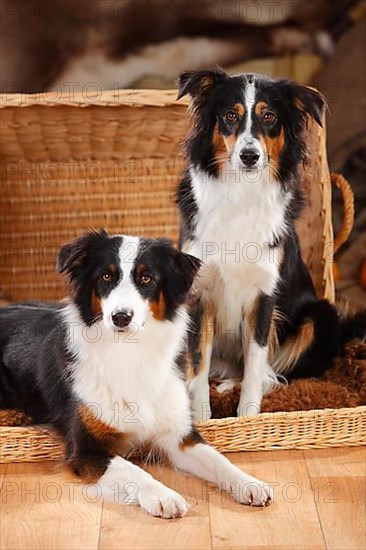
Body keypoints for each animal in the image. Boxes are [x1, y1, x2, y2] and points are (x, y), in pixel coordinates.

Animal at [0, 231, 274, 520]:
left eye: (146, 278)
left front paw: (249, 483)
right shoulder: (86, 449)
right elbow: (134, 470)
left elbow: (218, 460)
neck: (129, 350)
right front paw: (164, 496)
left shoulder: (180, 436)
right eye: (106, 276)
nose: (121, 317)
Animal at [176, 69, 364, 422]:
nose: (250, 156)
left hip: (320, 316)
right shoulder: (200, 294)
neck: (242, 191)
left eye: (270, 117)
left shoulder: (263, 295)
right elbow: (198, 363)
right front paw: (202, 418)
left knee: (276, 372)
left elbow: (254, 365)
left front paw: (248, 417)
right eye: (230, 116)